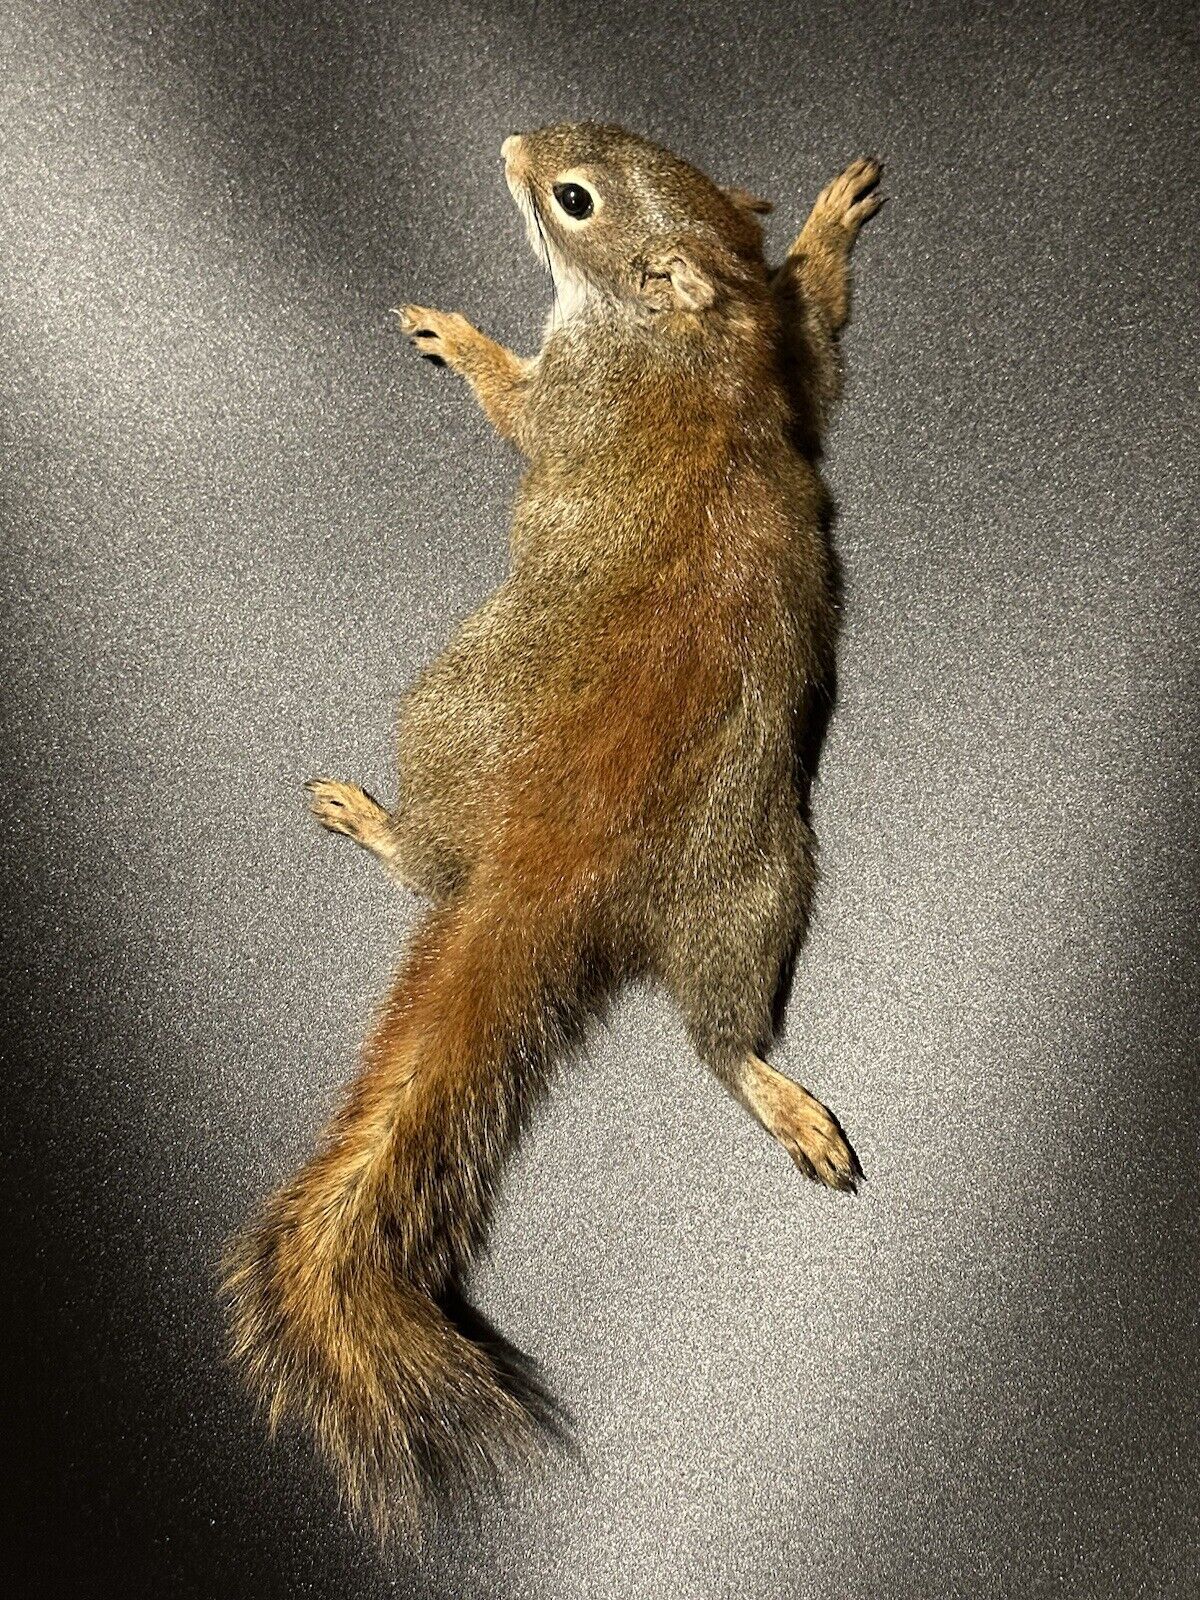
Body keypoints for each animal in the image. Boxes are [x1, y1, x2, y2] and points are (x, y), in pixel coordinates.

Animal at [222, 122, 882, 1538]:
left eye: (574, 200)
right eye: (650, 146)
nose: (518, 143)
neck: (689, 342)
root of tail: (548, 862)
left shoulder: (573, 400)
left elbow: (516, 408)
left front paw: (459, 336)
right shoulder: (787, 358)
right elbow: (822, 325)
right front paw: (826, 215)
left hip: (459, 726)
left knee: (471, 890)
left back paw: (377, 823)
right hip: (755, 880)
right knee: (718, 1021)